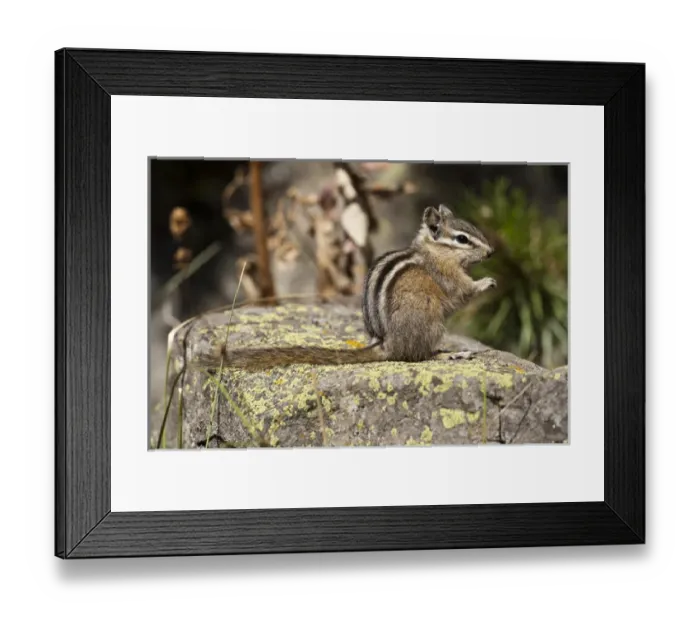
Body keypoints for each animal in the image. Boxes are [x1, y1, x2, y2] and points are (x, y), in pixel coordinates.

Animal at [197, 204, 496, 372]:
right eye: (462, 239)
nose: (491, 253)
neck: (433, 251)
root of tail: (386, 345)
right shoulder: (448, 276)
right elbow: (464, 292)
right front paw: (487, 282)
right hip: (431, 322)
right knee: (420, 356)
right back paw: (451, 353)